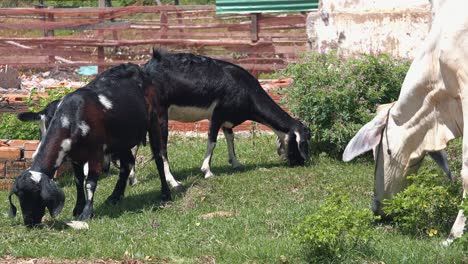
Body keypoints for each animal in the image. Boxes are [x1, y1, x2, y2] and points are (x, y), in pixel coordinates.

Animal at [8, 63, 170, 226]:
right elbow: (79, 181)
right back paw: (115, 196)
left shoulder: (96, 153)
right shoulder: (75, 156)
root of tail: (136, 68)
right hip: (121, 139)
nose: (29, 222)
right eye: (19, 196)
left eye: (37, 195)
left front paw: (86, 213)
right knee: (127, 163)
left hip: (155, 121)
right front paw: (78, 208)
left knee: (158, 157)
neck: (73, 116)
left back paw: (165, 194)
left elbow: (90, 182)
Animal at [143, 49, 310, 182]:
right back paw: (173, 181)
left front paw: (235, 163)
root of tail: (147, 68)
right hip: (161, 116)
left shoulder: (227, 119)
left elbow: (230, 137)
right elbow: (212, 141)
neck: (246, 89)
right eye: (302, 142)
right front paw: (207, 171)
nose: (302, 163)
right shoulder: (217, 115)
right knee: (162, 148)